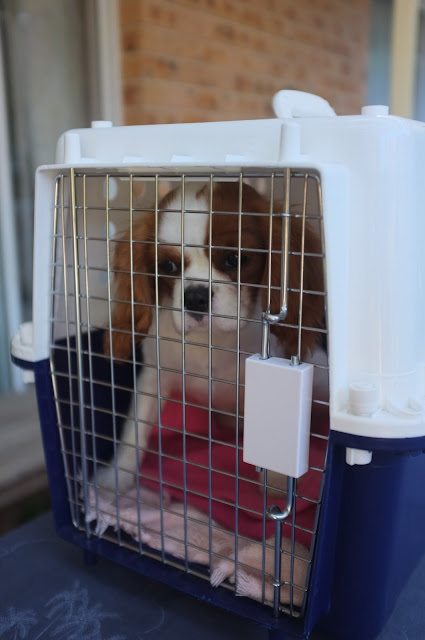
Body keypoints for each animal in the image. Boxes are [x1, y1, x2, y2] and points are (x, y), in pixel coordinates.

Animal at [97, 181, 322, 496]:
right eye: (168, 266)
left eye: (235, 259)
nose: (195, 297)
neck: (210, 340)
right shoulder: (155, 375)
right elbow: (135, 428)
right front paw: (117, 478)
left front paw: (276, 486)